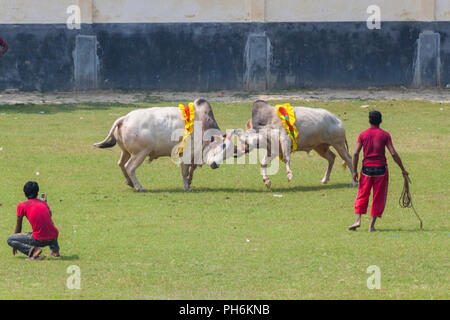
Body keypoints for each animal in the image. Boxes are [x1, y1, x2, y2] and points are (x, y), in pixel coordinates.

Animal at [95, 99, 236, 191]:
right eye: (222, 146)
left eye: (227, 155)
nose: (215, 165)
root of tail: (125, 118)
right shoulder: (186, 154)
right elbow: (185, 171)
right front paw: (186, 187)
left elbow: (191, 169)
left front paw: (189, 182)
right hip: (140, 153)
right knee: (129, 167)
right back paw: (139, 187)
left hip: (126, 152)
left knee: (121, 164)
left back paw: (130, 183)